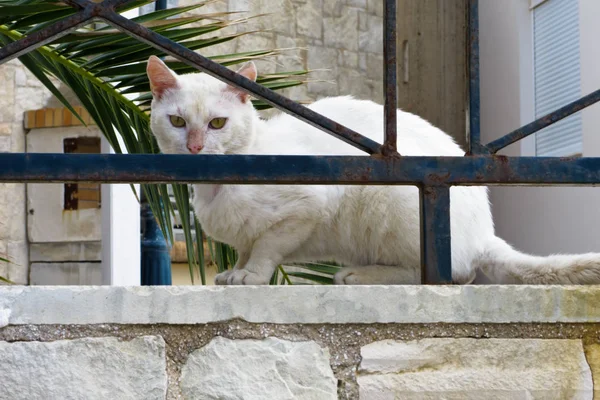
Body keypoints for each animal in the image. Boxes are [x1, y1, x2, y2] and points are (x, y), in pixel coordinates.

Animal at [146, 55, 600, 284]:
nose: (195, 147)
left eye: (217, 123)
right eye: (178, 122)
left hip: (393, 202)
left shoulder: (306, 207)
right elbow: (245, 247)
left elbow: (266, 246)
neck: (215, 188)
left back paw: (360, 275)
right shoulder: (245, 233)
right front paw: (235, 272)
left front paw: (252, 276)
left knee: (449, 273)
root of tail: (485, 234)